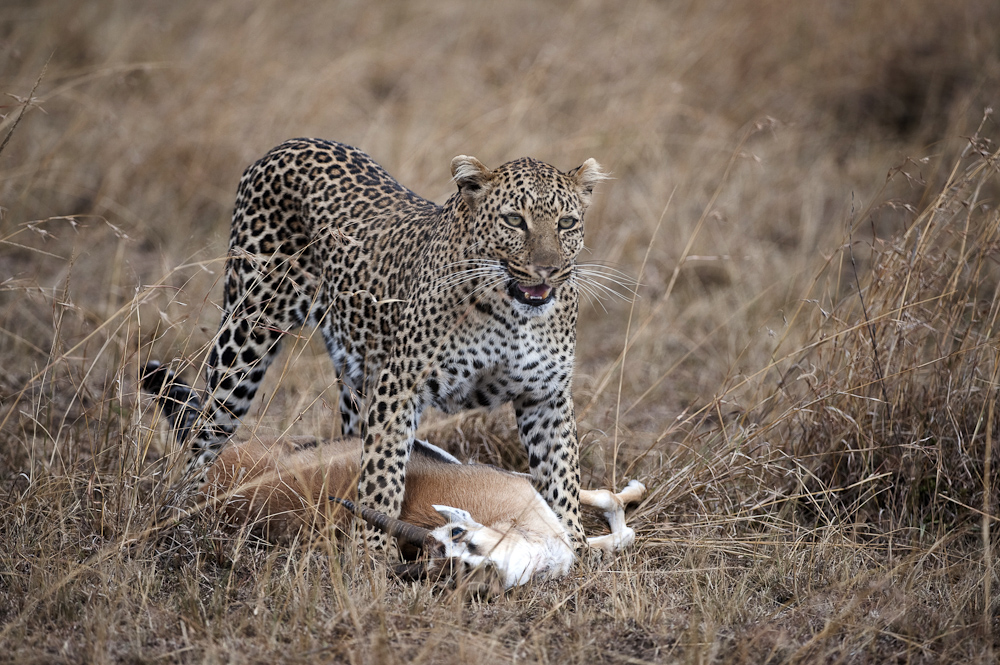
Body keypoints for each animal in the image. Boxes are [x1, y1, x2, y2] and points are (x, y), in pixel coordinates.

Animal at [159, 136, 604, 548]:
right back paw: (182, 509)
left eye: (566, 224)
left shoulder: (545, 396)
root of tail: (289, 144)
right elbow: (382, 475)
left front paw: (574, 545)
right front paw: (371, 554)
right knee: (206, 430)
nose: (548, 270)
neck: (513, 316)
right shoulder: (400, 385)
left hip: (355, 375)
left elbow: (562, 474)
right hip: (246, 333)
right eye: (514, 220)